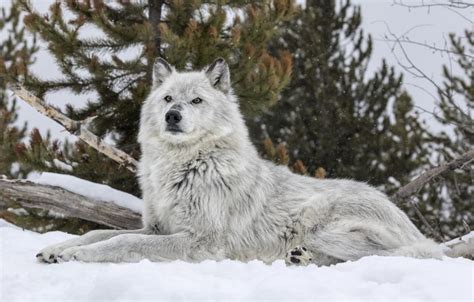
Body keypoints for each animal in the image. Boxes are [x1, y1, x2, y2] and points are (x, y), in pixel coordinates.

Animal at [36, 57, 444, 266]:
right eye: (167, 99)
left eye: (196, 101)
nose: (172, 116)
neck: (183, 167)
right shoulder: (156, 227)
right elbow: (99, 232)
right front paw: (60, 248)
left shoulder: (200, 242)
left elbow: (119, 242)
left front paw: (79, 255)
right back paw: (299, 259)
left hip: (319, 225)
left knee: (389, 256)